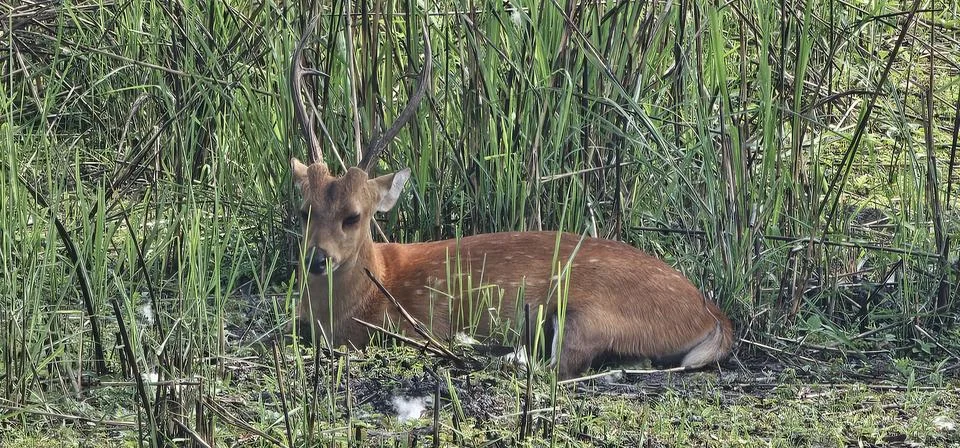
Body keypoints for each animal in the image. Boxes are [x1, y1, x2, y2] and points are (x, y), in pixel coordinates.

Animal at [288, 20, 734, 379]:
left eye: (354, 216)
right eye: (304, 211)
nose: (316, 260)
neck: (375, 286)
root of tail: (713, 314)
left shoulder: (424, 320)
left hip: (590, 314)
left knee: (564, 365)